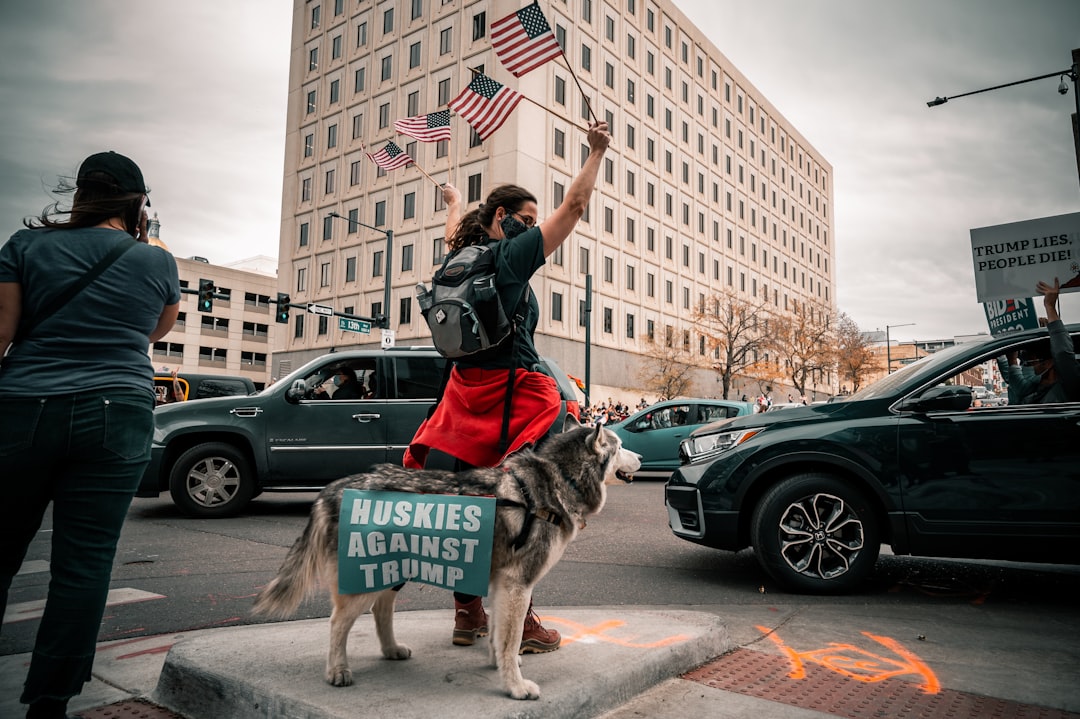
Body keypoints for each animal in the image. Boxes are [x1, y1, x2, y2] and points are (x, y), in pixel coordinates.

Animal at [250, 423, 639, 695]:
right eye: (620, 445)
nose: (640, 458)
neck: (561, 480)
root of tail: (333, 488)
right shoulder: (518, 585)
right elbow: (511, 640)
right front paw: (514, 686)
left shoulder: (500, 584)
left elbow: (499, 636)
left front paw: (498, 665)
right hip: (362, 579)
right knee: (336, 623)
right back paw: (337, 670)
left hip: (391, 569)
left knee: (381, 610)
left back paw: (390, 649)